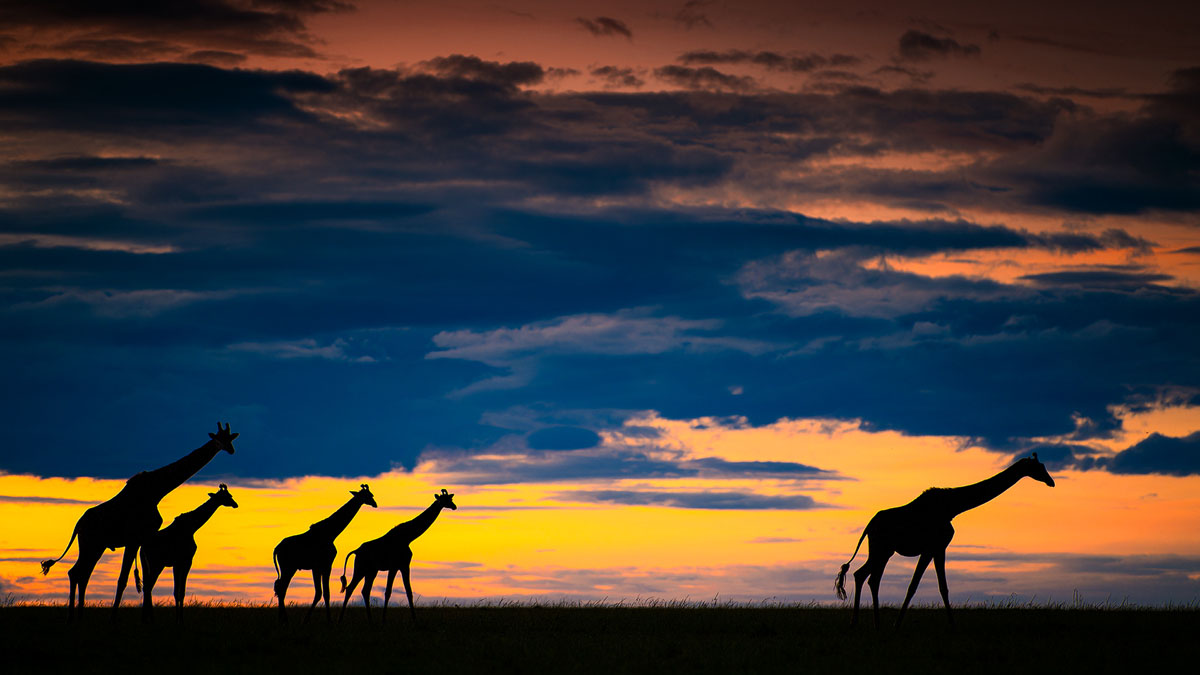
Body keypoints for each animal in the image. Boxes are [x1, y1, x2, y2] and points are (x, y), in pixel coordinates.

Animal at [137, 482, 237, 619]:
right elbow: (180, 592)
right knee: (148, 587)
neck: (192, 527)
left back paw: (147, 618)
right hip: (156, 564)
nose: (235, 504)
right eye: (227, 496)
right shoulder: (185, 561)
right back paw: (149, 618)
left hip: (147, 565)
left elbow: (178, 592)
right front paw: (180, 619)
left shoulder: (178, 563)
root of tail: (142, 548)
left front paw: (179, 618)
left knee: (148, 587)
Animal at [272, 482, 374, 619]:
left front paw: (309, 619)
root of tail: (277, 548)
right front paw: (326, 620)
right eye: (369, 495)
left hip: (288, 568)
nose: (375, 503)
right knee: (282, 589)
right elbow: (325, 593)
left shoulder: (317, 567)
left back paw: (282, 619)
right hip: (288, 567)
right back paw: (284, 619)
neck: (331, 533)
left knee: (280, 588)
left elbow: (320, 592)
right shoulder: (325, 565)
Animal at [338, 485, 458, 624]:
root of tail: (356, 551)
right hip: (361, 569)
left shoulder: (403, 566)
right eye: (445, 499)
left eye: (450, 498)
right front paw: (384, 619)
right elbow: (389, 592)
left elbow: (408, 592)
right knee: (350, 588)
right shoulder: (397, 566)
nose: (454, 506)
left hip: (371, 571)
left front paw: (413, 619)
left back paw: (370, 620)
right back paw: (341, 619)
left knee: (365, 590)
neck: (408, 537)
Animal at [830, 449, 1056, 629]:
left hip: (882, 549)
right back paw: (873, 624)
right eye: (1038, 467)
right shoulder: (933, 547)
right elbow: (915, 586)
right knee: (870, 577)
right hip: (883, 548)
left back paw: (860, 623)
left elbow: (942, 587)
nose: (1051, 482)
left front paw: (951, 625)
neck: (952, 507)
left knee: (863, 575)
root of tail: (869, 525)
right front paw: (898, 624)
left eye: (1044, 466)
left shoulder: (938, 548)